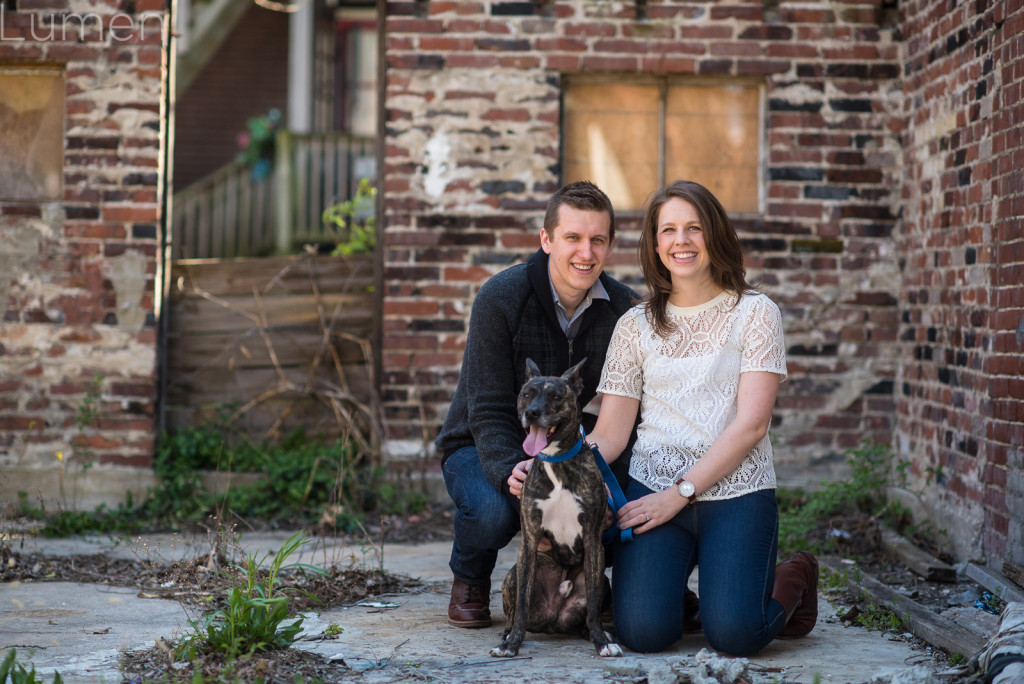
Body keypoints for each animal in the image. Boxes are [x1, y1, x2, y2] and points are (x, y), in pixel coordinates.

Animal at [489, 358, 622, 655]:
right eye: (526, 394)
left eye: (556, 396)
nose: (532, 412)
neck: (557, 462)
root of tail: (553, 619)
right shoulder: (529, 540)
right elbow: (521, 607)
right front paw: (512, 644)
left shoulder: (593, 539)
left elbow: (593, 605)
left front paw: (601, 641)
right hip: (512, 575)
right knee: (514, 611)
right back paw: (506, 636)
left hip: (604, 581)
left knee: (589, 611)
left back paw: (596, 634)